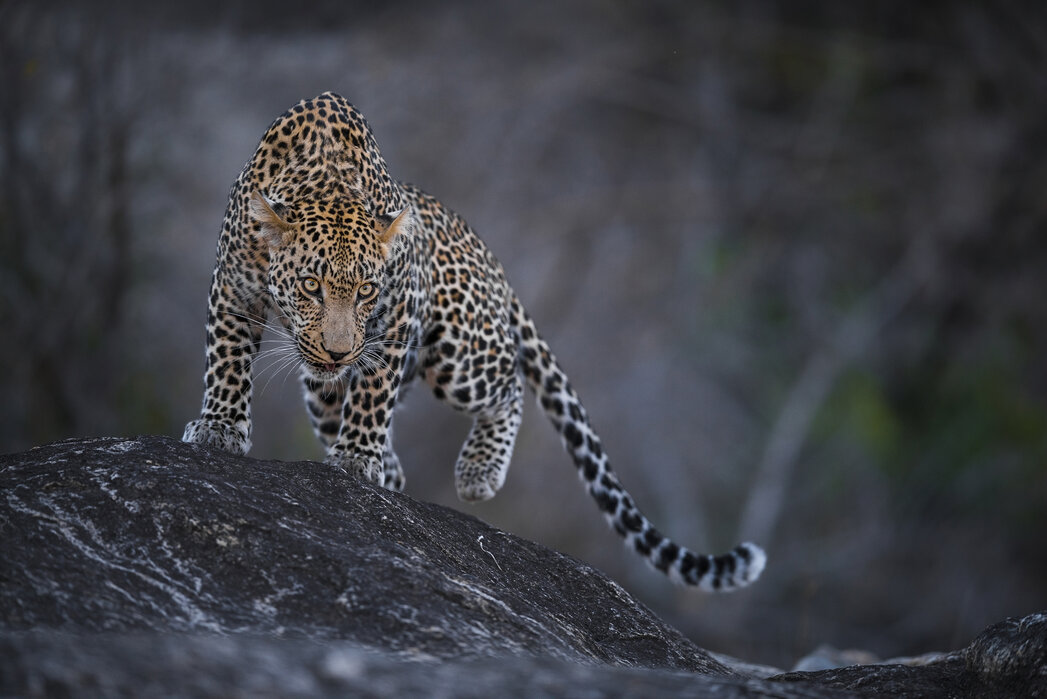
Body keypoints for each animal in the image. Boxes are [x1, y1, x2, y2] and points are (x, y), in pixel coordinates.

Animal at [183, 92, 765, 591]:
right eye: (311, 286)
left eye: (367, 290)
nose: (340, 350)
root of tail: (493, 260)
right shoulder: (232, 288)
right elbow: (227, 359)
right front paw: (220, 427)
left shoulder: (398, 311)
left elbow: (372, 394)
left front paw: (357, 458)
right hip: (330, 383)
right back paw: (392, 468)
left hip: (459, 353)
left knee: (510, 386)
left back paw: (476, 471)